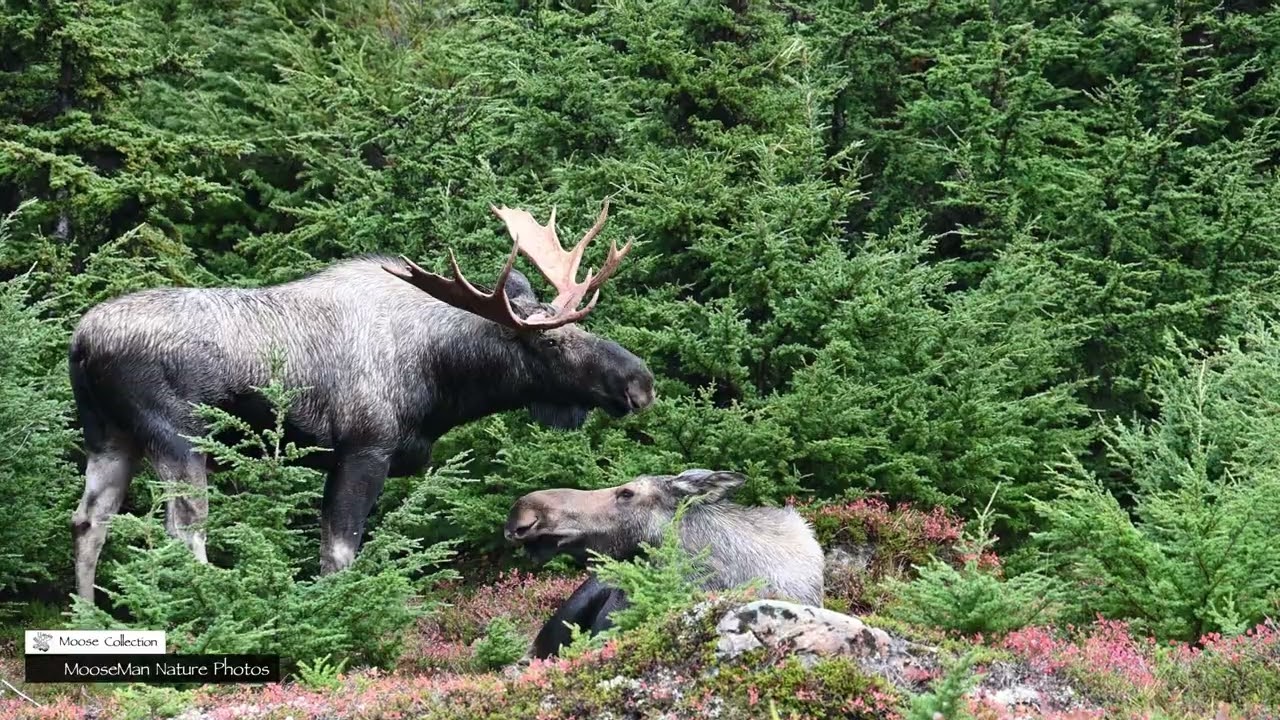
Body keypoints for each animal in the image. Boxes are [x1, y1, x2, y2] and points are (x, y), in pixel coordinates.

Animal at [68, 198, 655, 603]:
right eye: (551, 341)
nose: (640, 382)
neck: (442, 380)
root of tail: (81, 343)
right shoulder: (364, 450)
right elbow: (338, 554)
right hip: (179, 438)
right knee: (181, 532)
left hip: (109, 438)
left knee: (87, 523)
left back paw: (89, 616)